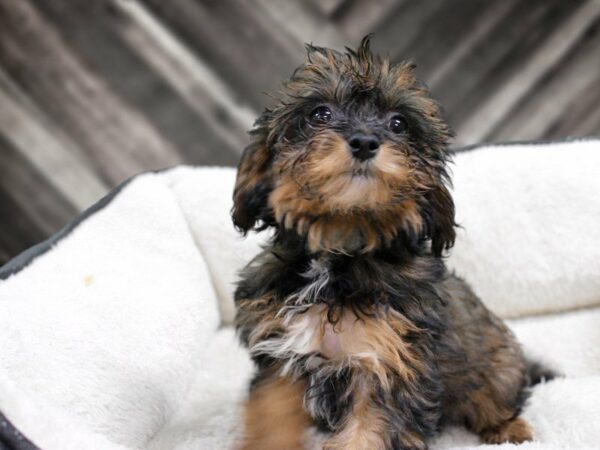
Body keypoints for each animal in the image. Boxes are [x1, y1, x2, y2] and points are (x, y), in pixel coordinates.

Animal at [231, 36, 540, 450]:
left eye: (398, 123)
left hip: (499, 365)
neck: (339, 247)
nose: (364, 141)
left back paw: (509, 428)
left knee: (497, 396)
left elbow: (368, 431)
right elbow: (271, 417)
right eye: (319, 114)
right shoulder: (281, 355)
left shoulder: (385, 363)